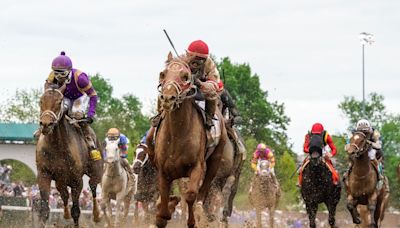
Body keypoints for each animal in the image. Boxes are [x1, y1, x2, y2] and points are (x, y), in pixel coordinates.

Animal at [35, 87, 103, 226]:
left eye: (59, 102)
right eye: (41, 100)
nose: (46, 124)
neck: (57, 147)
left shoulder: (77, 181)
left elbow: (76, 211)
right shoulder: (44, 174)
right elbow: (44, 210)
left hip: (96, 172)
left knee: (93, 189)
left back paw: (96, 215)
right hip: (60, 181)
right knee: (65, 195)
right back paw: (65, 215)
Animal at [148, 52, 227, 228]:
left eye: (185, 76)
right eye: (163, 74)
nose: (167, 98)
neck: (177, 135)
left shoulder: (197, 167)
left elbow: (190, 195)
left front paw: (192, 221)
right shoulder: (163, 170)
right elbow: (164, 204)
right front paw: (161, 214)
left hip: (215, 160)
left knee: (203, 191)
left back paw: (198, 209)